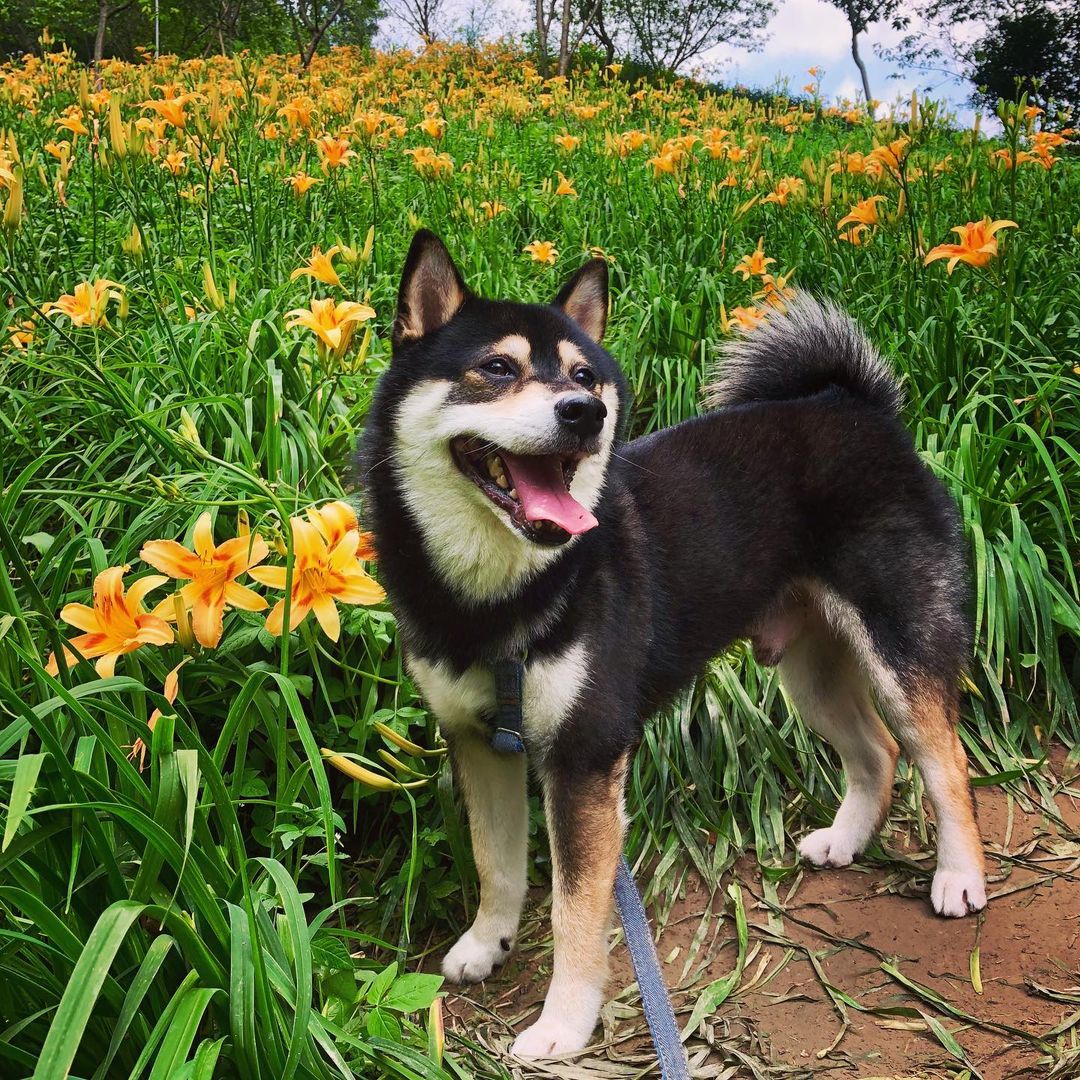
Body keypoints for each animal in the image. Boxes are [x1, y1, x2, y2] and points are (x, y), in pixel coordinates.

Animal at [362, 232, 989, 1058]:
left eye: (584, 374)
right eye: (496, 367)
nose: (585, 412)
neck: (501, 599)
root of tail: (851, 406)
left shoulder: (586, 757)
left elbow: (575, 911)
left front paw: (562, 1025)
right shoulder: (479, 741)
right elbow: (497, 864)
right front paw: (485, 943)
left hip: (899, 649)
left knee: (945, 761)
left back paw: (961, 878)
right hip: (809, 674)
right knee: (877, 753)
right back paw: (847, 839)